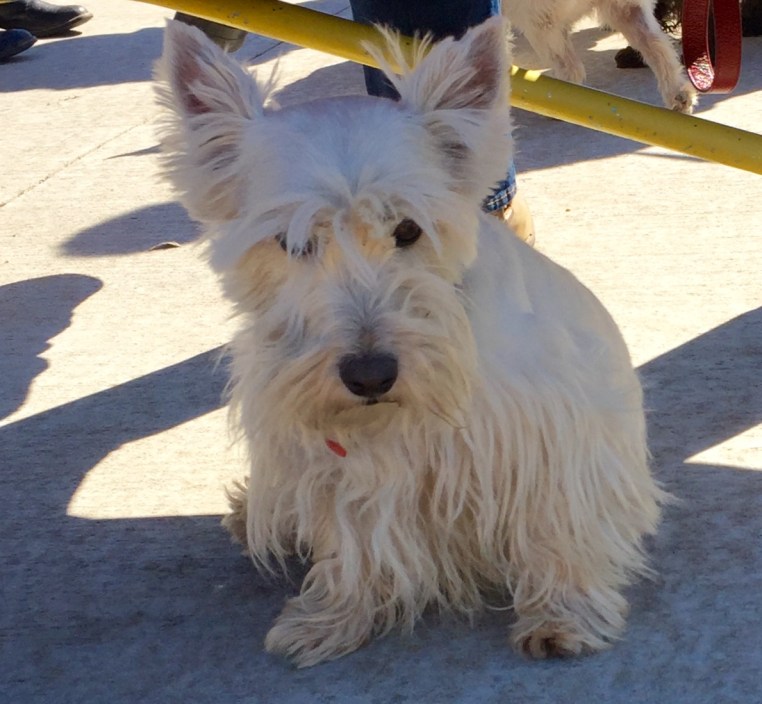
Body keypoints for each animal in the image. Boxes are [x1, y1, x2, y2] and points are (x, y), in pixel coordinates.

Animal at [156, 17, 664, 667]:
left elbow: (554, 523)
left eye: (408, 229)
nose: (370, 375)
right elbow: (348, 540)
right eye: (291, 243)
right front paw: (333, 616)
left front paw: (563, 612)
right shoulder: (335, 468)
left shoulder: (552, 437)